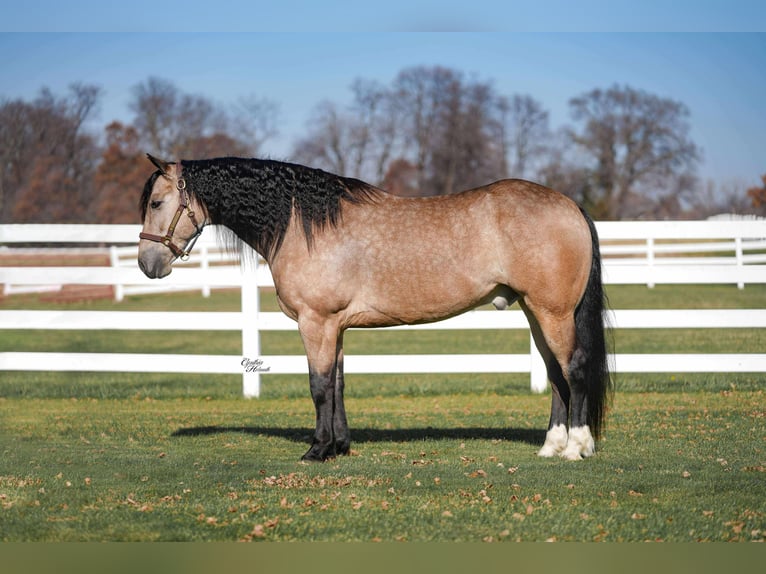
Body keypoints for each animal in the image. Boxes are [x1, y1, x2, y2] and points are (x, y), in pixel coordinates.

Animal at [138, 154, 612, 462]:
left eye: (157, 202)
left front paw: (317, 450)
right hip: (536, 312)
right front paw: (340, 445)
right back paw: (551, 446)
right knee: (555, 375)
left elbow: (319, 386)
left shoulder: (316, 323)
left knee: (574, 369)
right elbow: (339, 384)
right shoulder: (336, 327)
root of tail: (570, 205)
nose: (147, 264)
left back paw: (576, 447)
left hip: (553, 313)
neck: (304, 225)